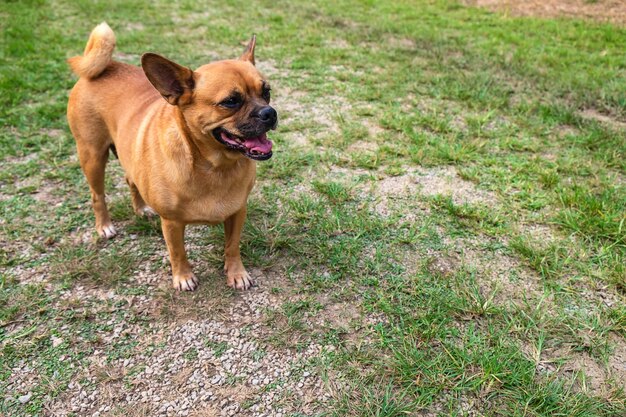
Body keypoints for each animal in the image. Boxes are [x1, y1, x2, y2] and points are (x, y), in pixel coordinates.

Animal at [65, 22, 276, 290]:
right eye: (230, 101)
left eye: (266, 92)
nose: (270, 112)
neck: (214, 166)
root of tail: (107, 66)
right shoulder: (172, 224)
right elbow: (178, 252)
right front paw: (183, 277)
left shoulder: (237, 213)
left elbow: (232, 247)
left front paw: (236, 273)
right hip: (92, 157)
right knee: (97, 196)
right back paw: (104, 226)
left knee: (130, 179)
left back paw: (141, 208)